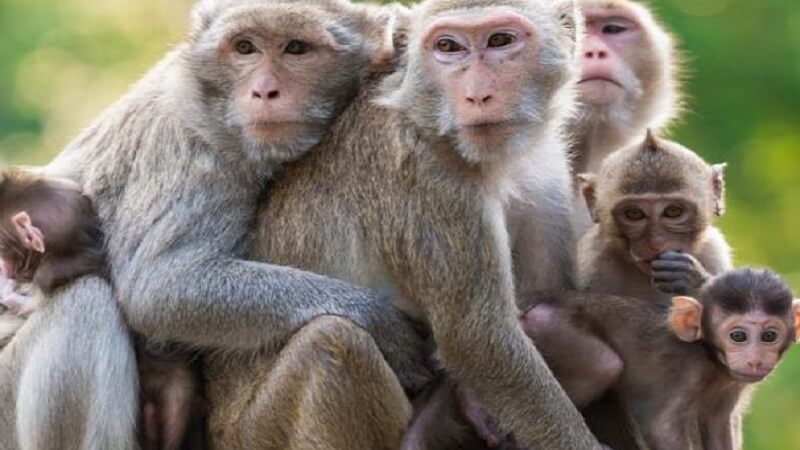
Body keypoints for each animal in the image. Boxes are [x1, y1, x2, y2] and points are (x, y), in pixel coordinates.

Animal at [1, 1, 429, 449]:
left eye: (296, 48)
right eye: (245, 47)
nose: (264, 90)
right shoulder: (191, 147)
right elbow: (159, 286)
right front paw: (381, 322)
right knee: (85, 303)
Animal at [203, 0, 602, 449]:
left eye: (501, 40)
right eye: (448, 47)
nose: (477, 94)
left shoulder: (546, 168)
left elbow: (548, 300)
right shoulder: (428, 180)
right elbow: (480, 340)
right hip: (256, 432)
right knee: (335, 344)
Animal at [522, 268, 800, 450]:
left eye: (769, 336)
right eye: (738, 336)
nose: (755, 360)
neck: (710, 357)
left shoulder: (732, 383)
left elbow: (718, 425)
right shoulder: (691, 372)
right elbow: (662, 427)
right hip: (546, 323)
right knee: (604, 365)